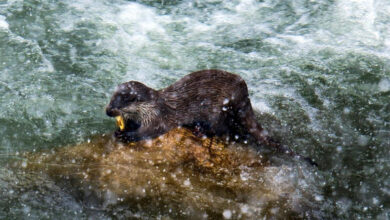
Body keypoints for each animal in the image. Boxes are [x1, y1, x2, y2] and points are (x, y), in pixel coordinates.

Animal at [106, 69, 316, 165]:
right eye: (110, 99)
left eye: (119, 103)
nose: (108, 111)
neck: (151, 106)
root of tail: (243, 91)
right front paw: (120, 129)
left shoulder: (158, 118)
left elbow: (149, 131)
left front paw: (126, 135)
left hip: (218, 110)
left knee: (223, 129)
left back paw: (200, 130)